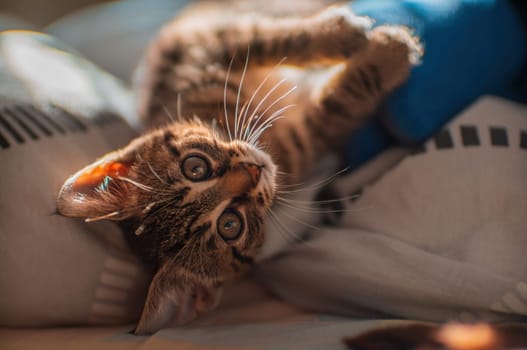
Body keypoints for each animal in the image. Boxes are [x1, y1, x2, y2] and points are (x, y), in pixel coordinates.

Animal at [55, 0, 422, 334]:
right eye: (230, 225)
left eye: (195, 168)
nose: (253, 171)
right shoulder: (304, 143)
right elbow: (334, 108)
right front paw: (390, 54)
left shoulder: (193, 43)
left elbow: (267, 38)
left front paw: (345, 35)